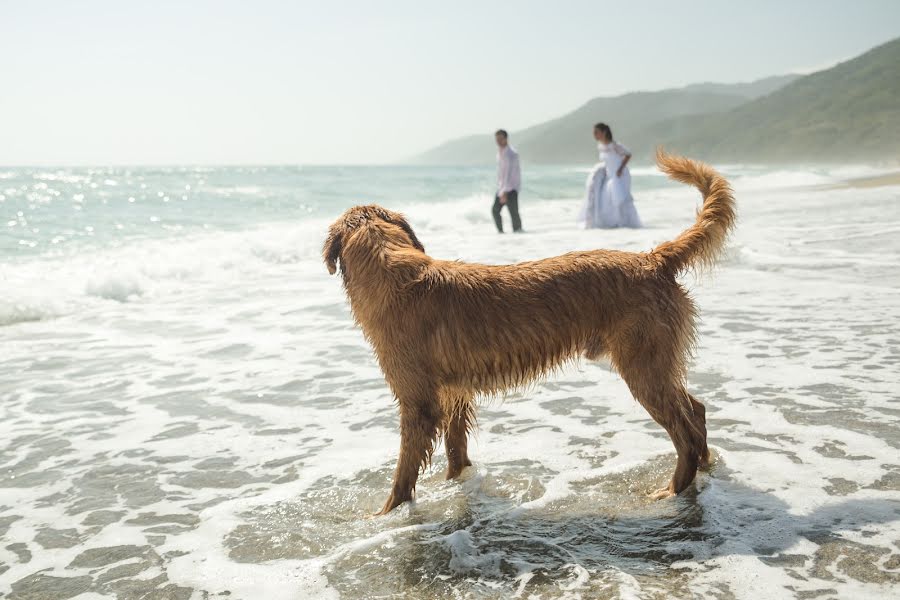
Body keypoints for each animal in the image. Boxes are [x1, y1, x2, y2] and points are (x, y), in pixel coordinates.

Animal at [324, 151, 740, 516]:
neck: (394, 274)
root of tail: (653, 259)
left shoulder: (418, 403)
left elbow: (403, 470)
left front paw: (384, 514)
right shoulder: (455, 396)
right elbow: (456, 452)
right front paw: (455, 485)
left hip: (643, 366)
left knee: (683, 431)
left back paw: (673, 488)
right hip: (655, 362)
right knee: (696, 410)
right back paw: (705, 466)